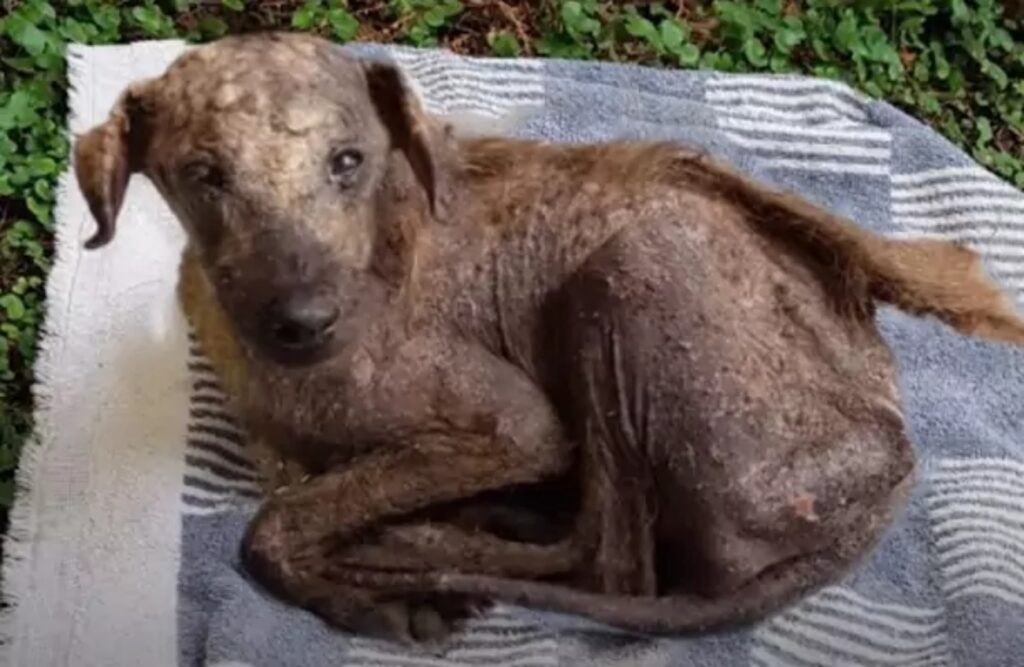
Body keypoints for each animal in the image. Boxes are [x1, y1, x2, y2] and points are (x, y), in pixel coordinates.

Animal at [75, 32, 1024, 647]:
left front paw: (368, 587)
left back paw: (411, 551)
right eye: (204, 176)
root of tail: (894, 465)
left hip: (629, 265)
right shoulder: (290, 448)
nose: (304, 320)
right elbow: (299, 496)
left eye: (349, 162)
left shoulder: (516, 422)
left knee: (608, 560)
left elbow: (269, 529)